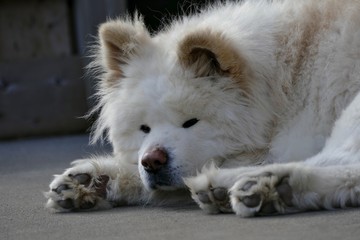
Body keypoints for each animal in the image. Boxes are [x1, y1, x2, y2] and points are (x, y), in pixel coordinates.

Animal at [45, 0, 360, 218]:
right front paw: (90, 181)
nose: (152, 161)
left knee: (340, 162)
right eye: (144, 128)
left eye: (190, 122)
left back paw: (257, 184)